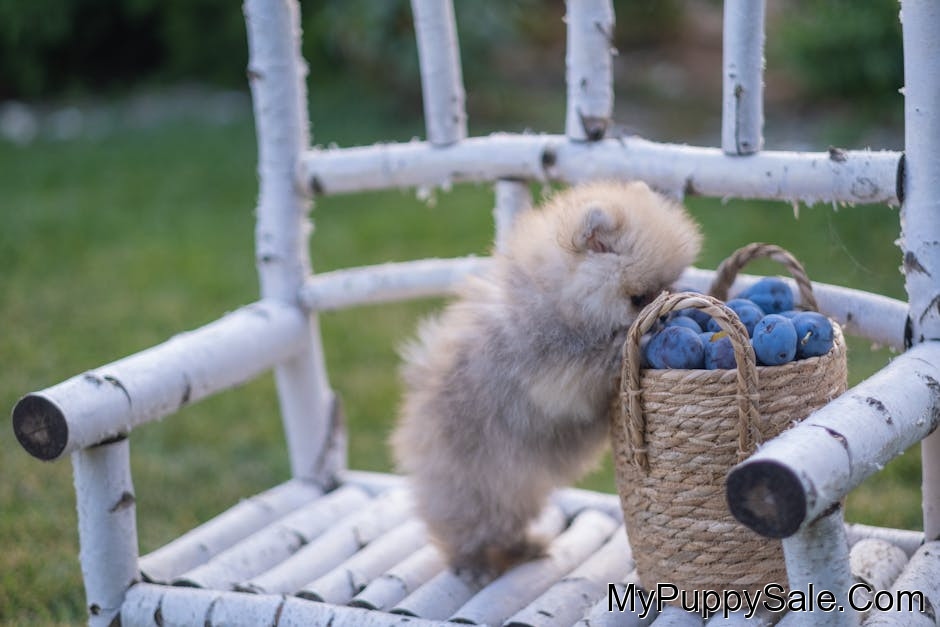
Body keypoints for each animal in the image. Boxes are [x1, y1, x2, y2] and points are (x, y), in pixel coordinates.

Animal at [392, 180, 702, 577]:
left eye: (668, 284)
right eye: (637, 298)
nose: (663, 314)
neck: (560, 302)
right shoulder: (554, 372)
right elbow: (603, 357)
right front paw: (638, 340)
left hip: (512, 492)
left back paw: (523, 548)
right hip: (475, 485)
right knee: (465, 527)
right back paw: (473, 564)